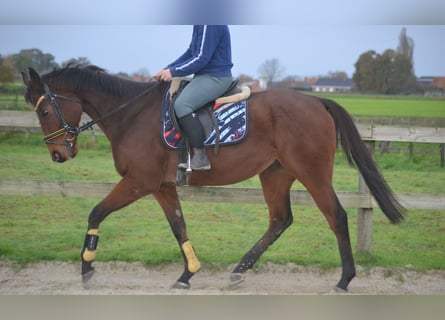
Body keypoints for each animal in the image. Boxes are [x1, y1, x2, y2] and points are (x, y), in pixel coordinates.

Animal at [20, 65, 404, 292]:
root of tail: (317, 102)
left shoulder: (139, 182)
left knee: (335, 216)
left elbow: (96, 212)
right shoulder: (161, 187)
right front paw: (188, 272)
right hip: (275, 173)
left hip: (312, 173)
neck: (130, 115)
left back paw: (344, 279)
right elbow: (179, 226)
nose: (58, 155)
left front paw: (86, 267)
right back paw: (239, 270)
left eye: (44, 109)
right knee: (280, 220)